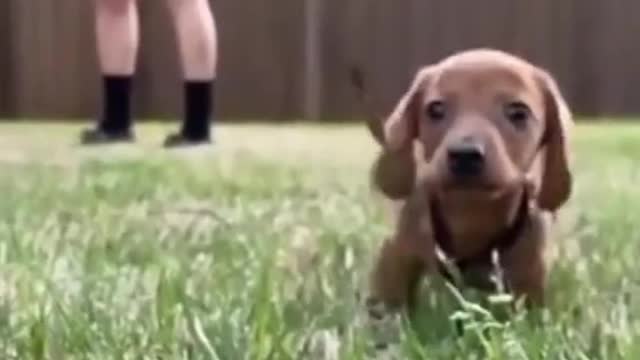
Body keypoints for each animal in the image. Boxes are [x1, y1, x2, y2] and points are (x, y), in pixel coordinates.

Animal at [352, 47, 572, 312]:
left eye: (518, 113)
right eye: (435, 109)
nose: (465, 155)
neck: (470, 214)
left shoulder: (530, 277)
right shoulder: (395, 254)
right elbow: (389, 300)